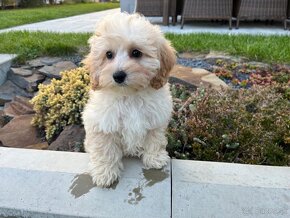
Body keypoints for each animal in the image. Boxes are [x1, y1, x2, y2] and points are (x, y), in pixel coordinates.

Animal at [82, 13, 176, 187]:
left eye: (136, 53)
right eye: (109, 55)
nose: (118, 75)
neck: (129, 95)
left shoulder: (156, 119)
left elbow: (155, 138)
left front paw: (155, 158)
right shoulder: (102, 124)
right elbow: (104, 148)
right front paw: (105, 172)